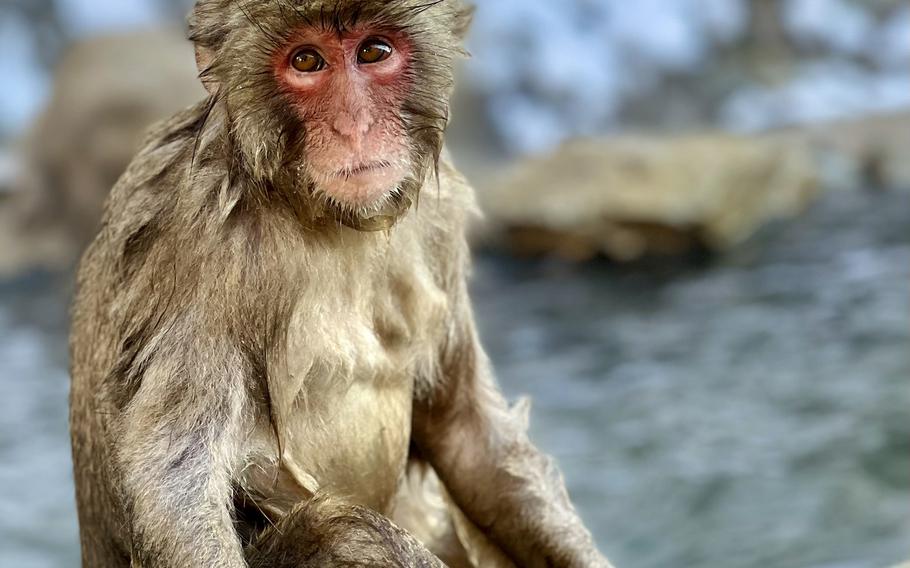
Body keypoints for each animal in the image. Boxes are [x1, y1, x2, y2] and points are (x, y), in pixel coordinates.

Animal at [69, 2, 612, 564]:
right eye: (306, 61)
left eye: (374, 51)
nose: (355, 126)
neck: (315, 208)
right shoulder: (192, 235)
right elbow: (174, 476)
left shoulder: (439, 223)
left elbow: (467, 432)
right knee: (345, 533)